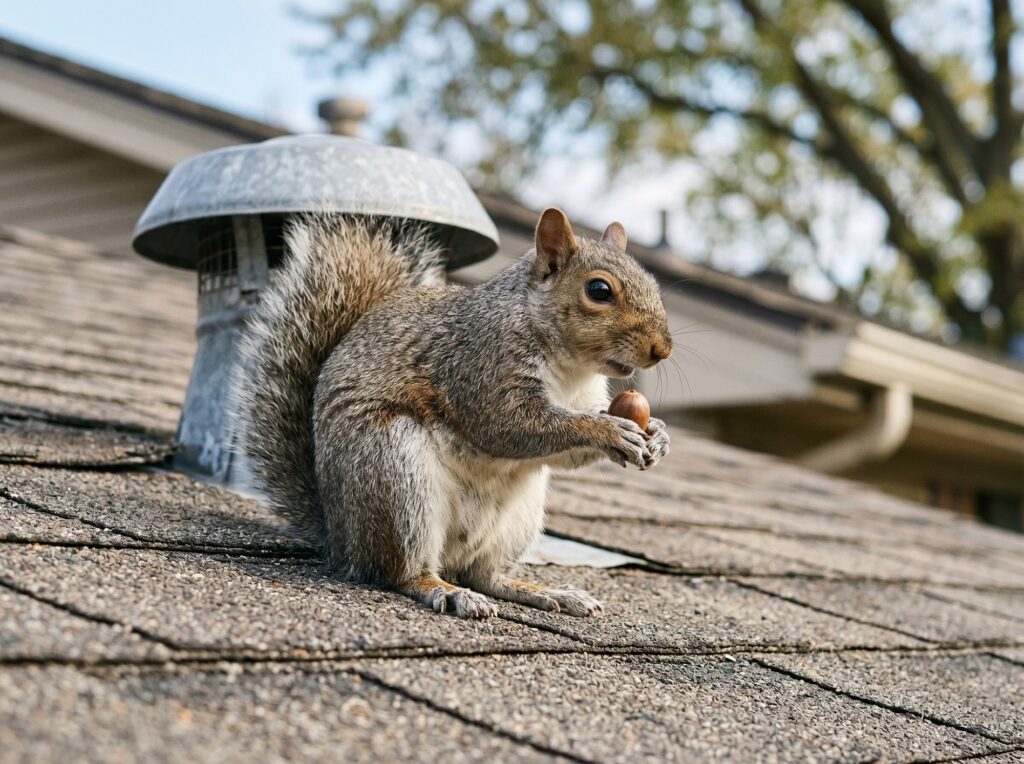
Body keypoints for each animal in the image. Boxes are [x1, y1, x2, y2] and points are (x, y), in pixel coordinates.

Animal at [231, 207, 672, 619]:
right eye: (599, 290)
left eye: (654, 285)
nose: (663, 349)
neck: (572, 369)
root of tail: (341, 540)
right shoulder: (480, 366)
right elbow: (510, 426)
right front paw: (610, 430)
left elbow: (565, 453)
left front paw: (658, 434)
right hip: (394, 475)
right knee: (403, 572)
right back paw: (447, 591)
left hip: (519, 517)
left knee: (486, 575)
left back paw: (546, 592)